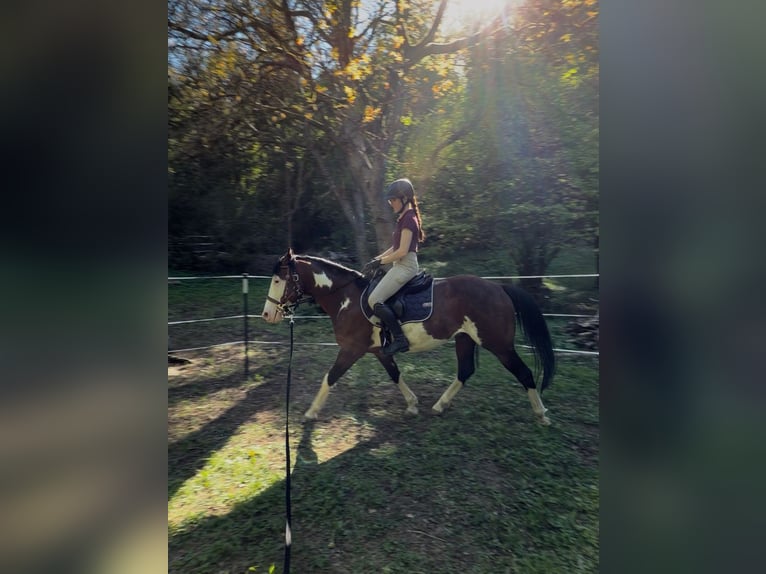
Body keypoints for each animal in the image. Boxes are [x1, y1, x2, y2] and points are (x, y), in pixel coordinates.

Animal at [261, 249, 556, 425]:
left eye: (277, 280)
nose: (267, 314)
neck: (347, 298)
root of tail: (499, 288)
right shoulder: (378, 350)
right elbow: (395, 374)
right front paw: (412, 405)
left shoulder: (351, 349)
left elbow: (330, 377)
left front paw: (311, 412)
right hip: (464, 339)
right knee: (465, 371)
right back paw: (439, 405)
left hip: (499, 344)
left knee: (524, 373)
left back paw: (541, 414)